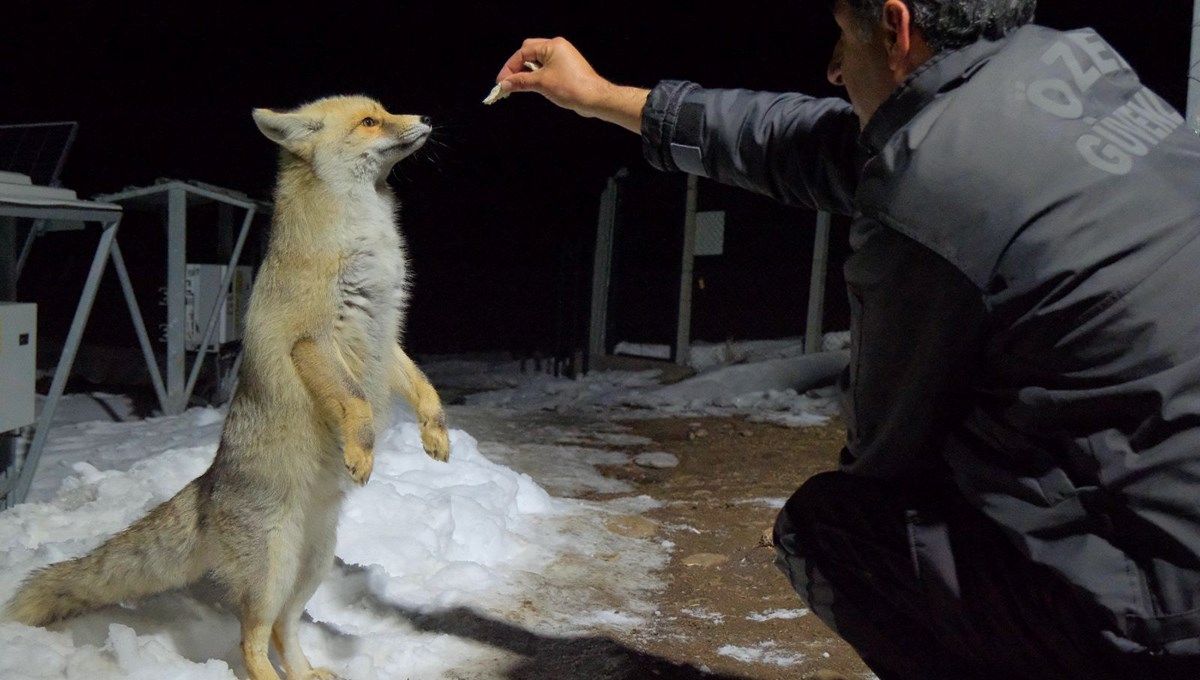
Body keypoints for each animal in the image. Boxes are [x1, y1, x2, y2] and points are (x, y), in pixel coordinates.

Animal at [4, 97, 451, 680]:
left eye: (384, 111)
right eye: (370, 121)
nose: (425, 118)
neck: (360, 238)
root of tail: (208, 483)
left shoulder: (384, 339)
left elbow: (423, 388)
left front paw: (435, 433)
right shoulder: (311, 339)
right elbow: (355, 401)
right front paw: (361, 451)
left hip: (309, 568)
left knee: (284, 631)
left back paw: (304, 674)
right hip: (272, 575)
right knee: (251, 640)